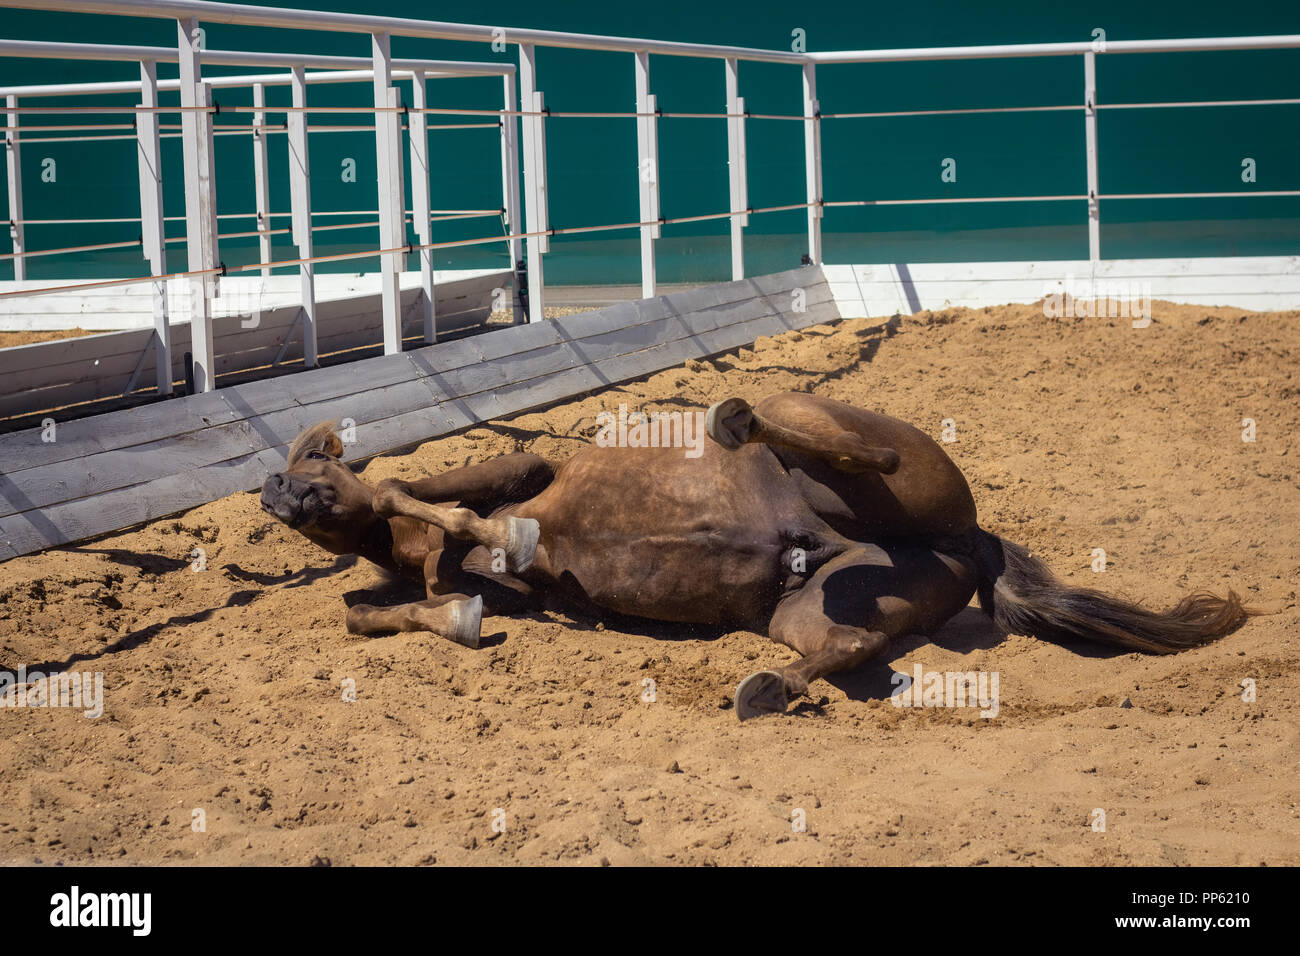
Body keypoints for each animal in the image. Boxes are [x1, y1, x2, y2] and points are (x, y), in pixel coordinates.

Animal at [256, 392, 1248, 723]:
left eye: (314, 463)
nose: (274, 490)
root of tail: (968, 539)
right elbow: (377, 607)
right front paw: (450, 613)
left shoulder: (517, 475)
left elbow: (425, 498)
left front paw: (483, 541)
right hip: (823, 603)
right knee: (844, 646)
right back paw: (767, 690)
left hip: (854, 448)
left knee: (858, 451)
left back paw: (736, 420)